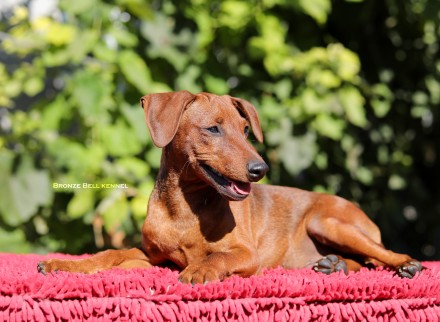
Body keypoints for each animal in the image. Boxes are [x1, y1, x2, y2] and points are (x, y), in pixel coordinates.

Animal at [37, 90, 422, 282]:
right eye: (213, 129)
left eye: (246, 130)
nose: (260, 169)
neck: (185, 209)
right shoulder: (154, 256)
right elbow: (110, 255)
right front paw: (63, 266)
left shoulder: (247, 253)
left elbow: (219, 256)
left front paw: (199, 270)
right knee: (364, 262)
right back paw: (332, 265)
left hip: (325, 221)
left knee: (381, 254)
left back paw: (407, 265)